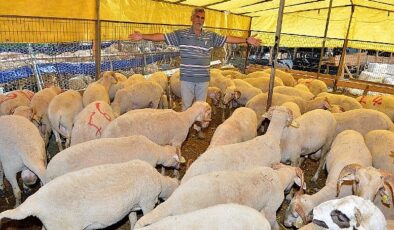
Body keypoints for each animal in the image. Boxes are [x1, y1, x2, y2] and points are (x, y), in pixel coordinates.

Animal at [0, 160, 179, 230]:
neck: (160, 181)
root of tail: (34, 202)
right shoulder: (147, 202)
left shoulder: (132, 206)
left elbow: (133, 218)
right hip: (64, 227)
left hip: (50, 225)